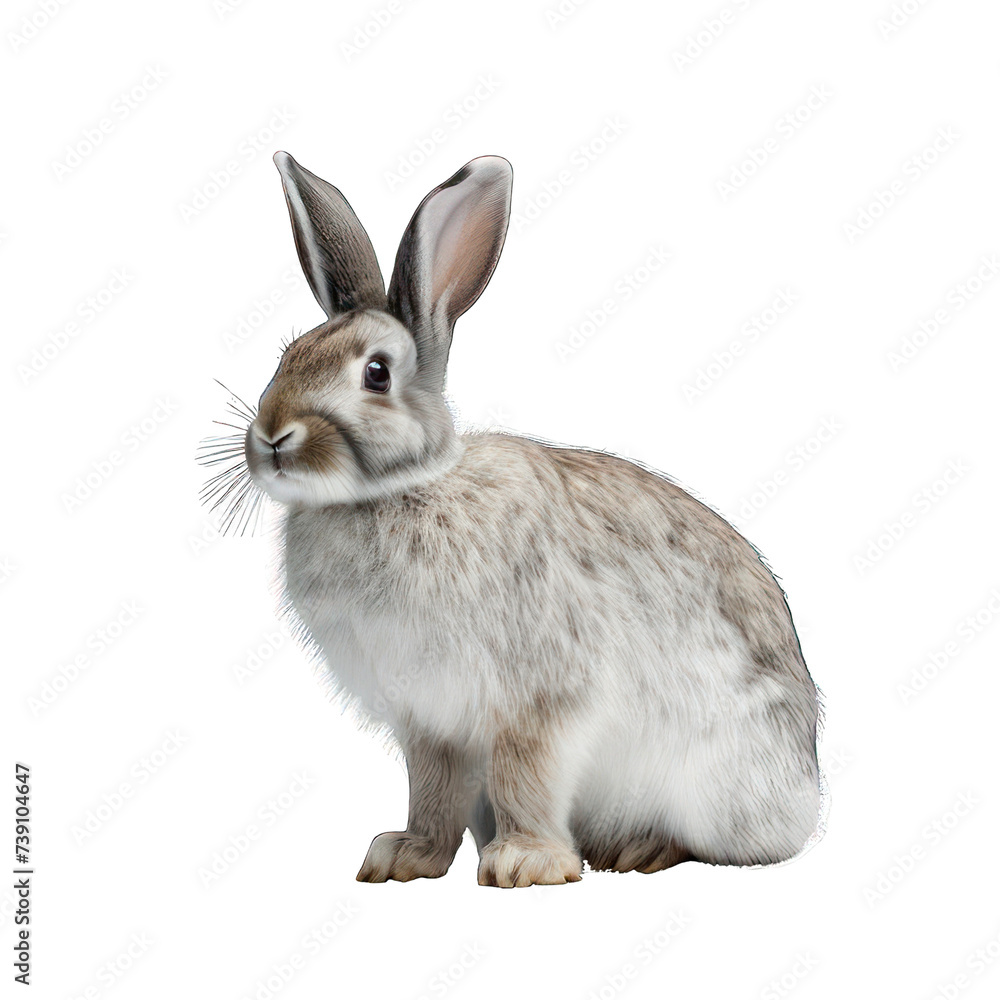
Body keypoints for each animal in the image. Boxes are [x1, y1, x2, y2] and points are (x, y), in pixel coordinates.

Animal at [217, 150, 821, 887]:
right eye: (287, 356)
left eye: (377, 373)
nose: (273, 436)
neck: (394, 492)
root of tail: (807, 786)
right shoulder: (429, 720)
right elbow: (431, 787)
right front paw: (405, 856)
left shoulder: (537, 698)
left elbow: (523, 773)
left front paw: (524, 864)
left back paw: (640, 848)